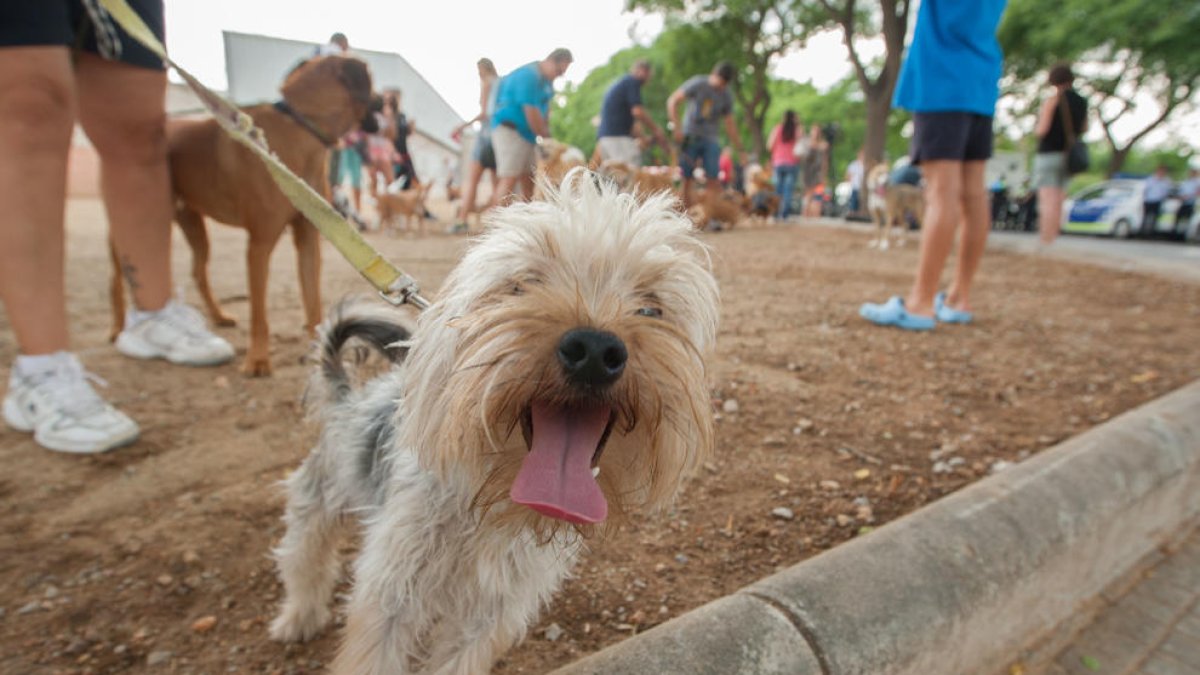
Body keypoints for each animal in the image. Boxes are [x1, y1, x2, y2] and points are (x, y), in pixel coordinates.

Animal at [112, 56, 374, 372]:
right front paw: (258, 359)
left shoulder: (309, 240)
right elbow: (259, 311)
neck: (299, 127)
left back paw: (219, 316)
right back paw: (117, 328)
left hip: (193, 224)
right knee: (118, 278)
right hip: (131, 227)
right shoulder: (259, 244)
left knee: (198, 271)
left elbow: (312, 300)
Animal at [270, 169, 720, 672]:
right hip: (320, 492)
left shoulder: (488, 615)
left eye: (651, 308)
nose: (595, 350)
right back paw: (298, 616)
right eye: (520, 285)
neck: (490, 505)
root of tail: (348, 395)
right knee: (303, 553)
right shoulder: (391, 592)